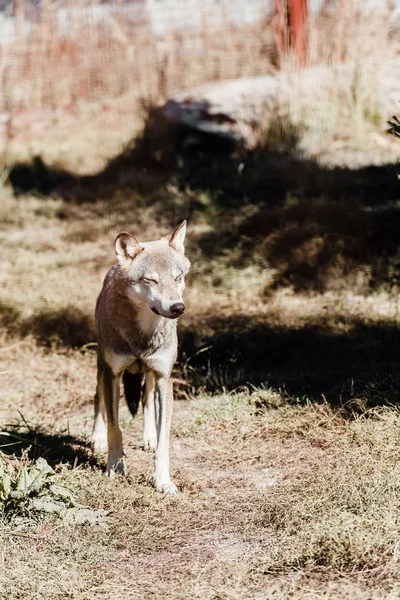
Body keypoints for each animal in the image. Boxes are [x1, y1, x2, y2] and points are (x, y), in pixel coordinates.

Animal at [91, 220, 190, 492]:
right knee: (97, 399)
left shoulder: (165, 378)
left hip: (151, 376)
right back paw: (96, 438)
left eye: (177, 277)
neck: (142, 335)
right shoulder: (113, 375)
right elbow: (115, 430)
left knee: (146, 400)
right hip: (101, 368)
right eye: (150, 280)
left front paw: (163, 482)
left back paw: (149, 438)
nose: (178, 307)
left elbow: (164, 441)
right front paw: (115, 468)